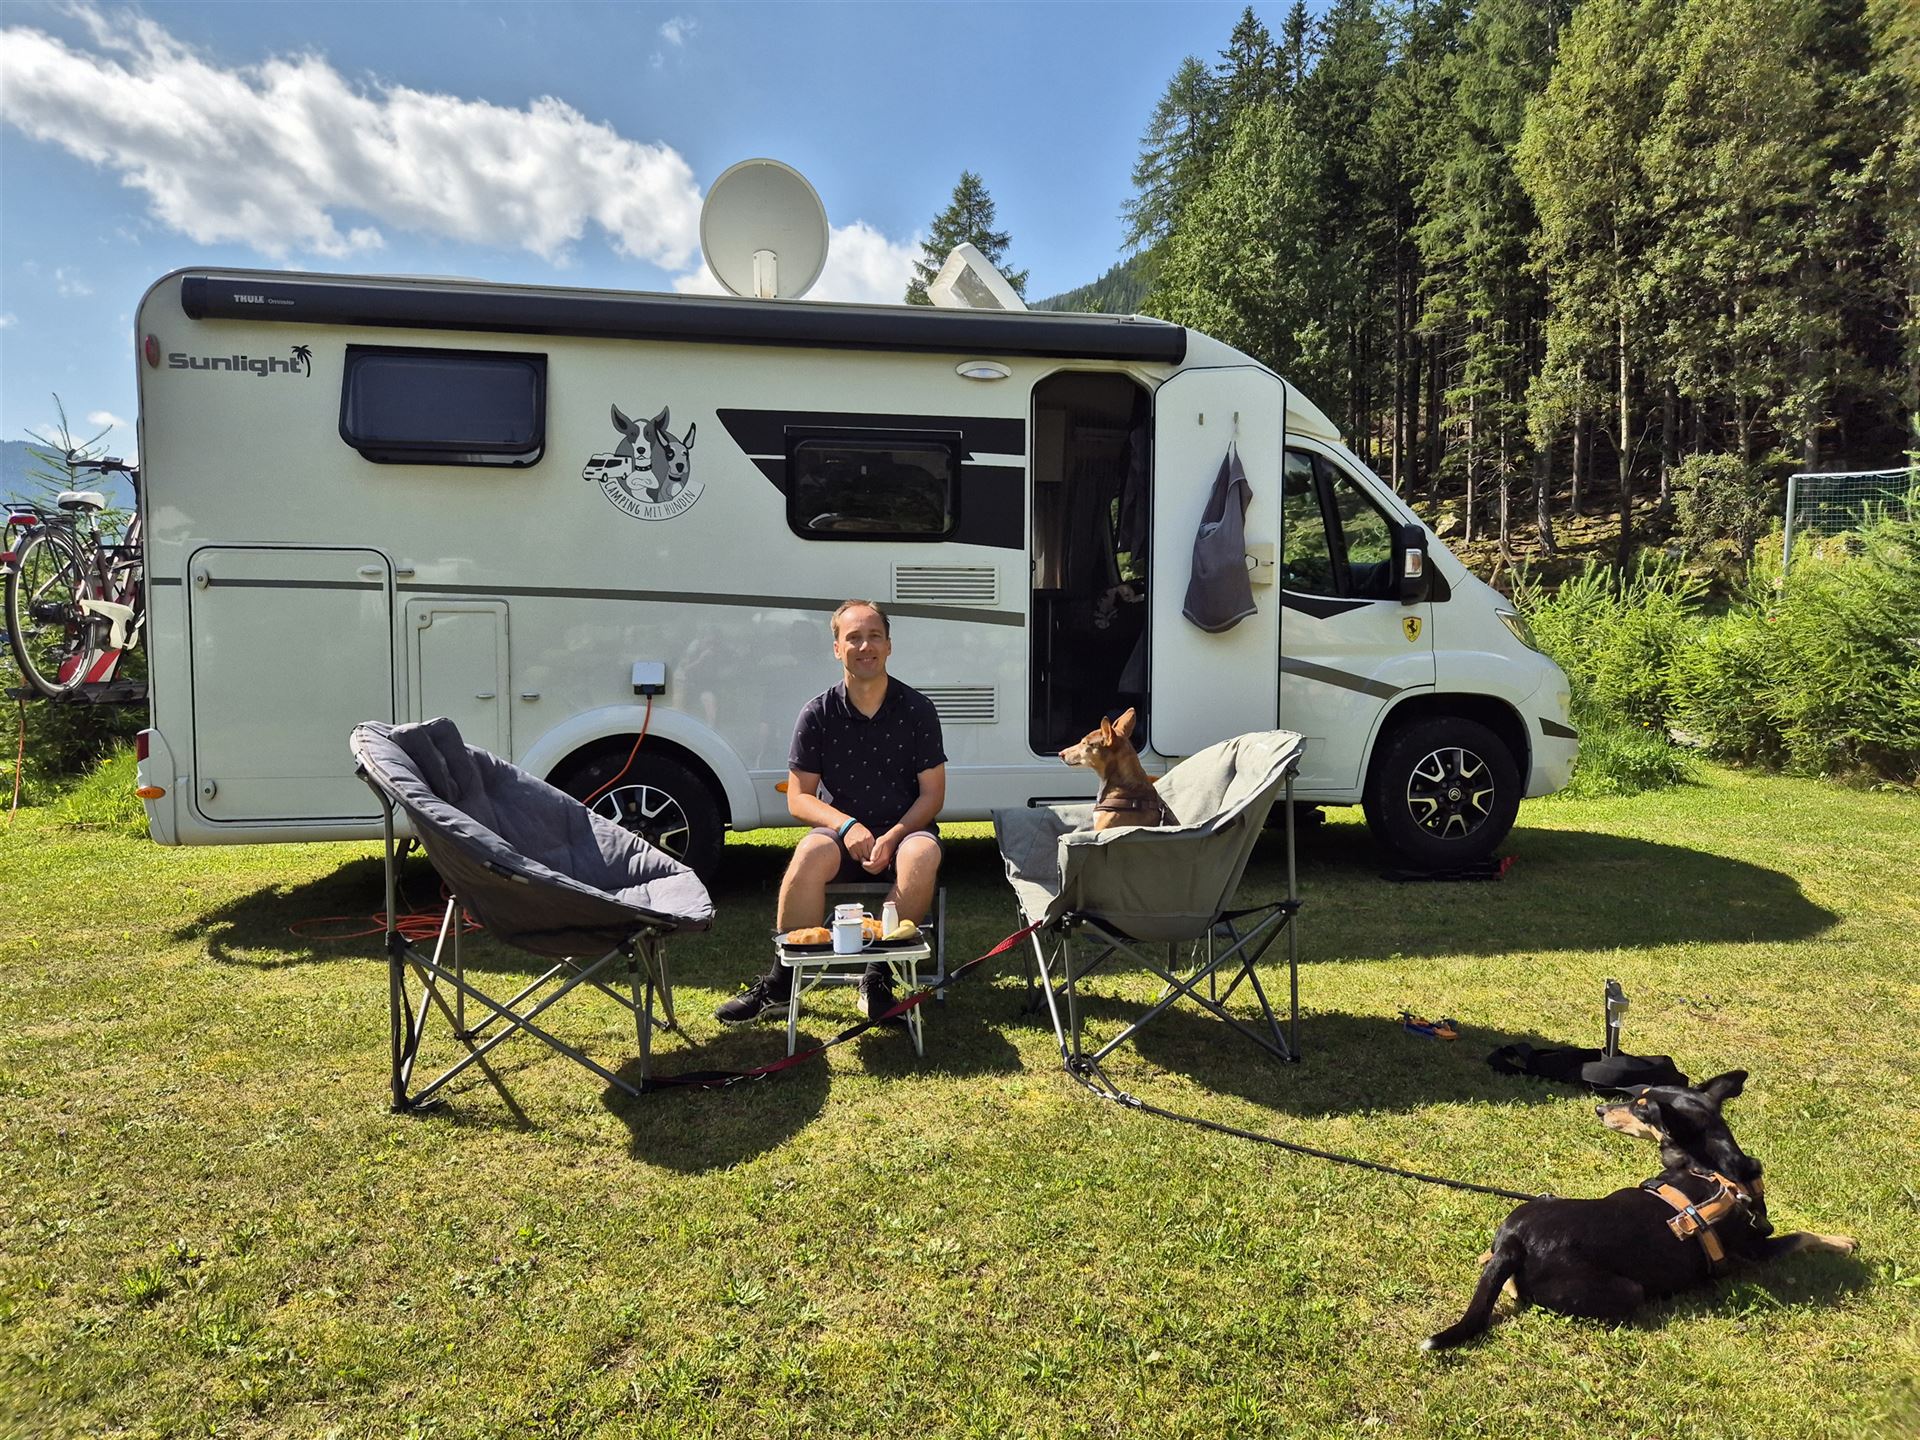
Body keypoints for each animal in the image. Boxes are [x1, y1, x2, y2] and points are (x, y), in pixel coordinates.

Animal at [1424, 1070, 1857, 1350]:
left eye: (1641, 1107)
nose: (1599, 1109)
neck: (1713, 1168)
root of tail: (1514, 1242)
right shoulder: (1756, 1250)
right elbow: (1802, 1234)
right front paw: (1842, 1241)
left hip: (1538, 1205)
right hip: (1629, 1290)